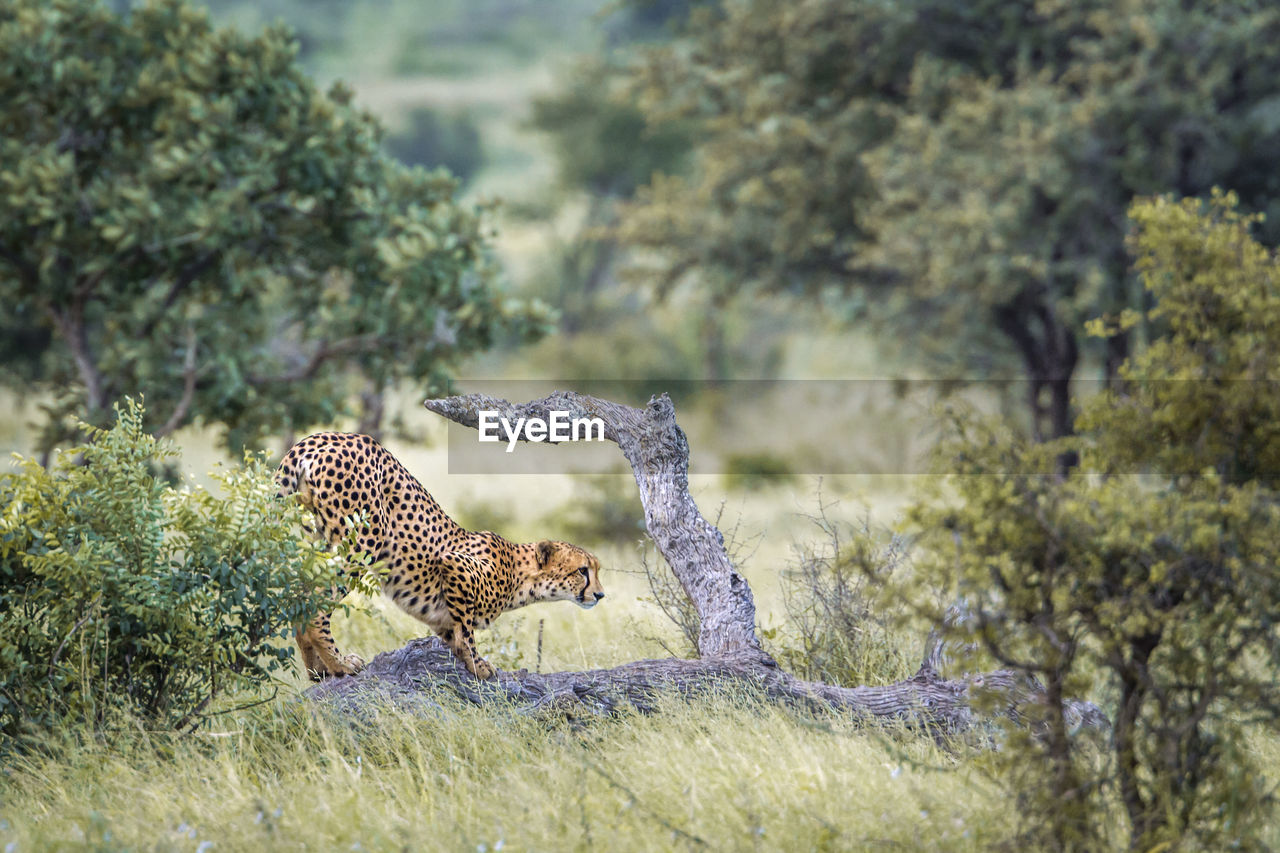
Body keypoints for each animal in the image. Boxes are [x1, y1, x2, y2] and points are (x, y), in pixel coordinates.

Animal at [276, 432, 604, 676]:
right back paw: (340, 664)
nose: (600, 595)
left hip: (317, 535)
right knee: (316, 607)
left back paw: (318, 670)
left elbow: (454, 631)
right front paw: (478, 664)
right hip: (361, 541)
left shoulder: (441, 614)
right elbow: (467, 630)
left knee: (302, 598)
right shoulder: (456, 565)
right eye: (582, 570)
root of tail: (321, 437)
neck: (519, 575)